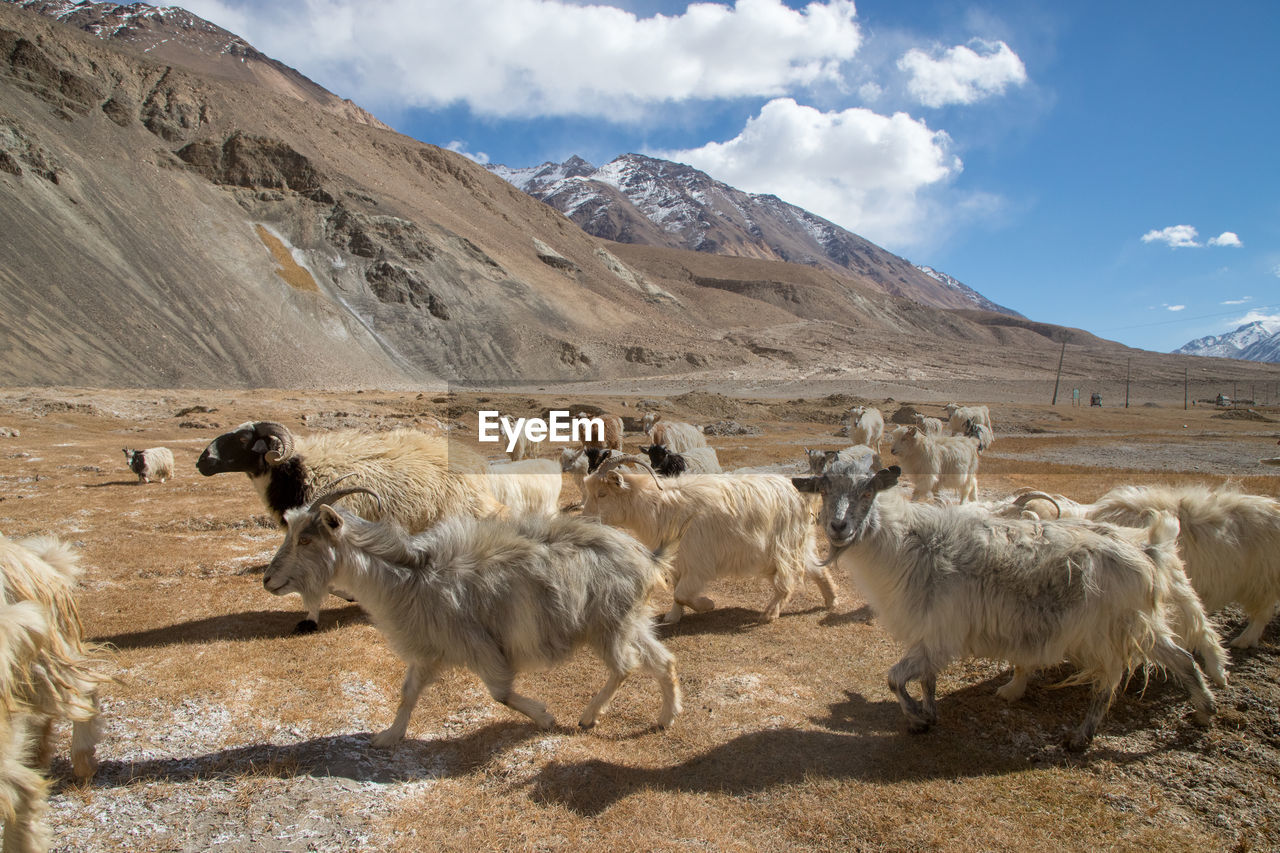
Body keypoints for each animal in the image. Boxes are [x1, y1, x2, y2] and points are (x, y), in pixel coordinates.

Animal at [788, 458, 1218, 753]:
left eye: (867, 492)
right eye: (824, 490)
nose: (838, 527)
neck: (909, 544)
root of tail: (1148, 550)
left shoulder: (939, 632)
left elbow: (895, 679)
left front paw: (918, 719)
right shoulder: (931, 633)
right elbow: (925, 679)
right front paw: (928, 715)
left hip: (1107, 634)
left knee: (1109, 682)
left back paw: (1080, 738)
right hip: (1142, 624)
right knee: (1183, 658)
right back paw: (1205, 710)